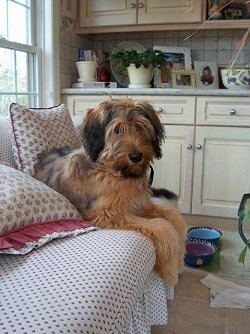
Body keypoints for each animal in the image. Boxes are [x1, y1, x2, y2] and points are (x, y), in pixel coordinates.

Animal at [35, 97, 188, 284]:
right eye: (117, 130)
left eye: (140, 126)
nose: (136, 157)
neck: (115, 170)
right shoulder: (107, 213)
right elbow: (162, 227)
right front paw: (170, 269)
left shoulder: (139, 204)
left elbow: (174, 216)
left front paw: (181, 257)